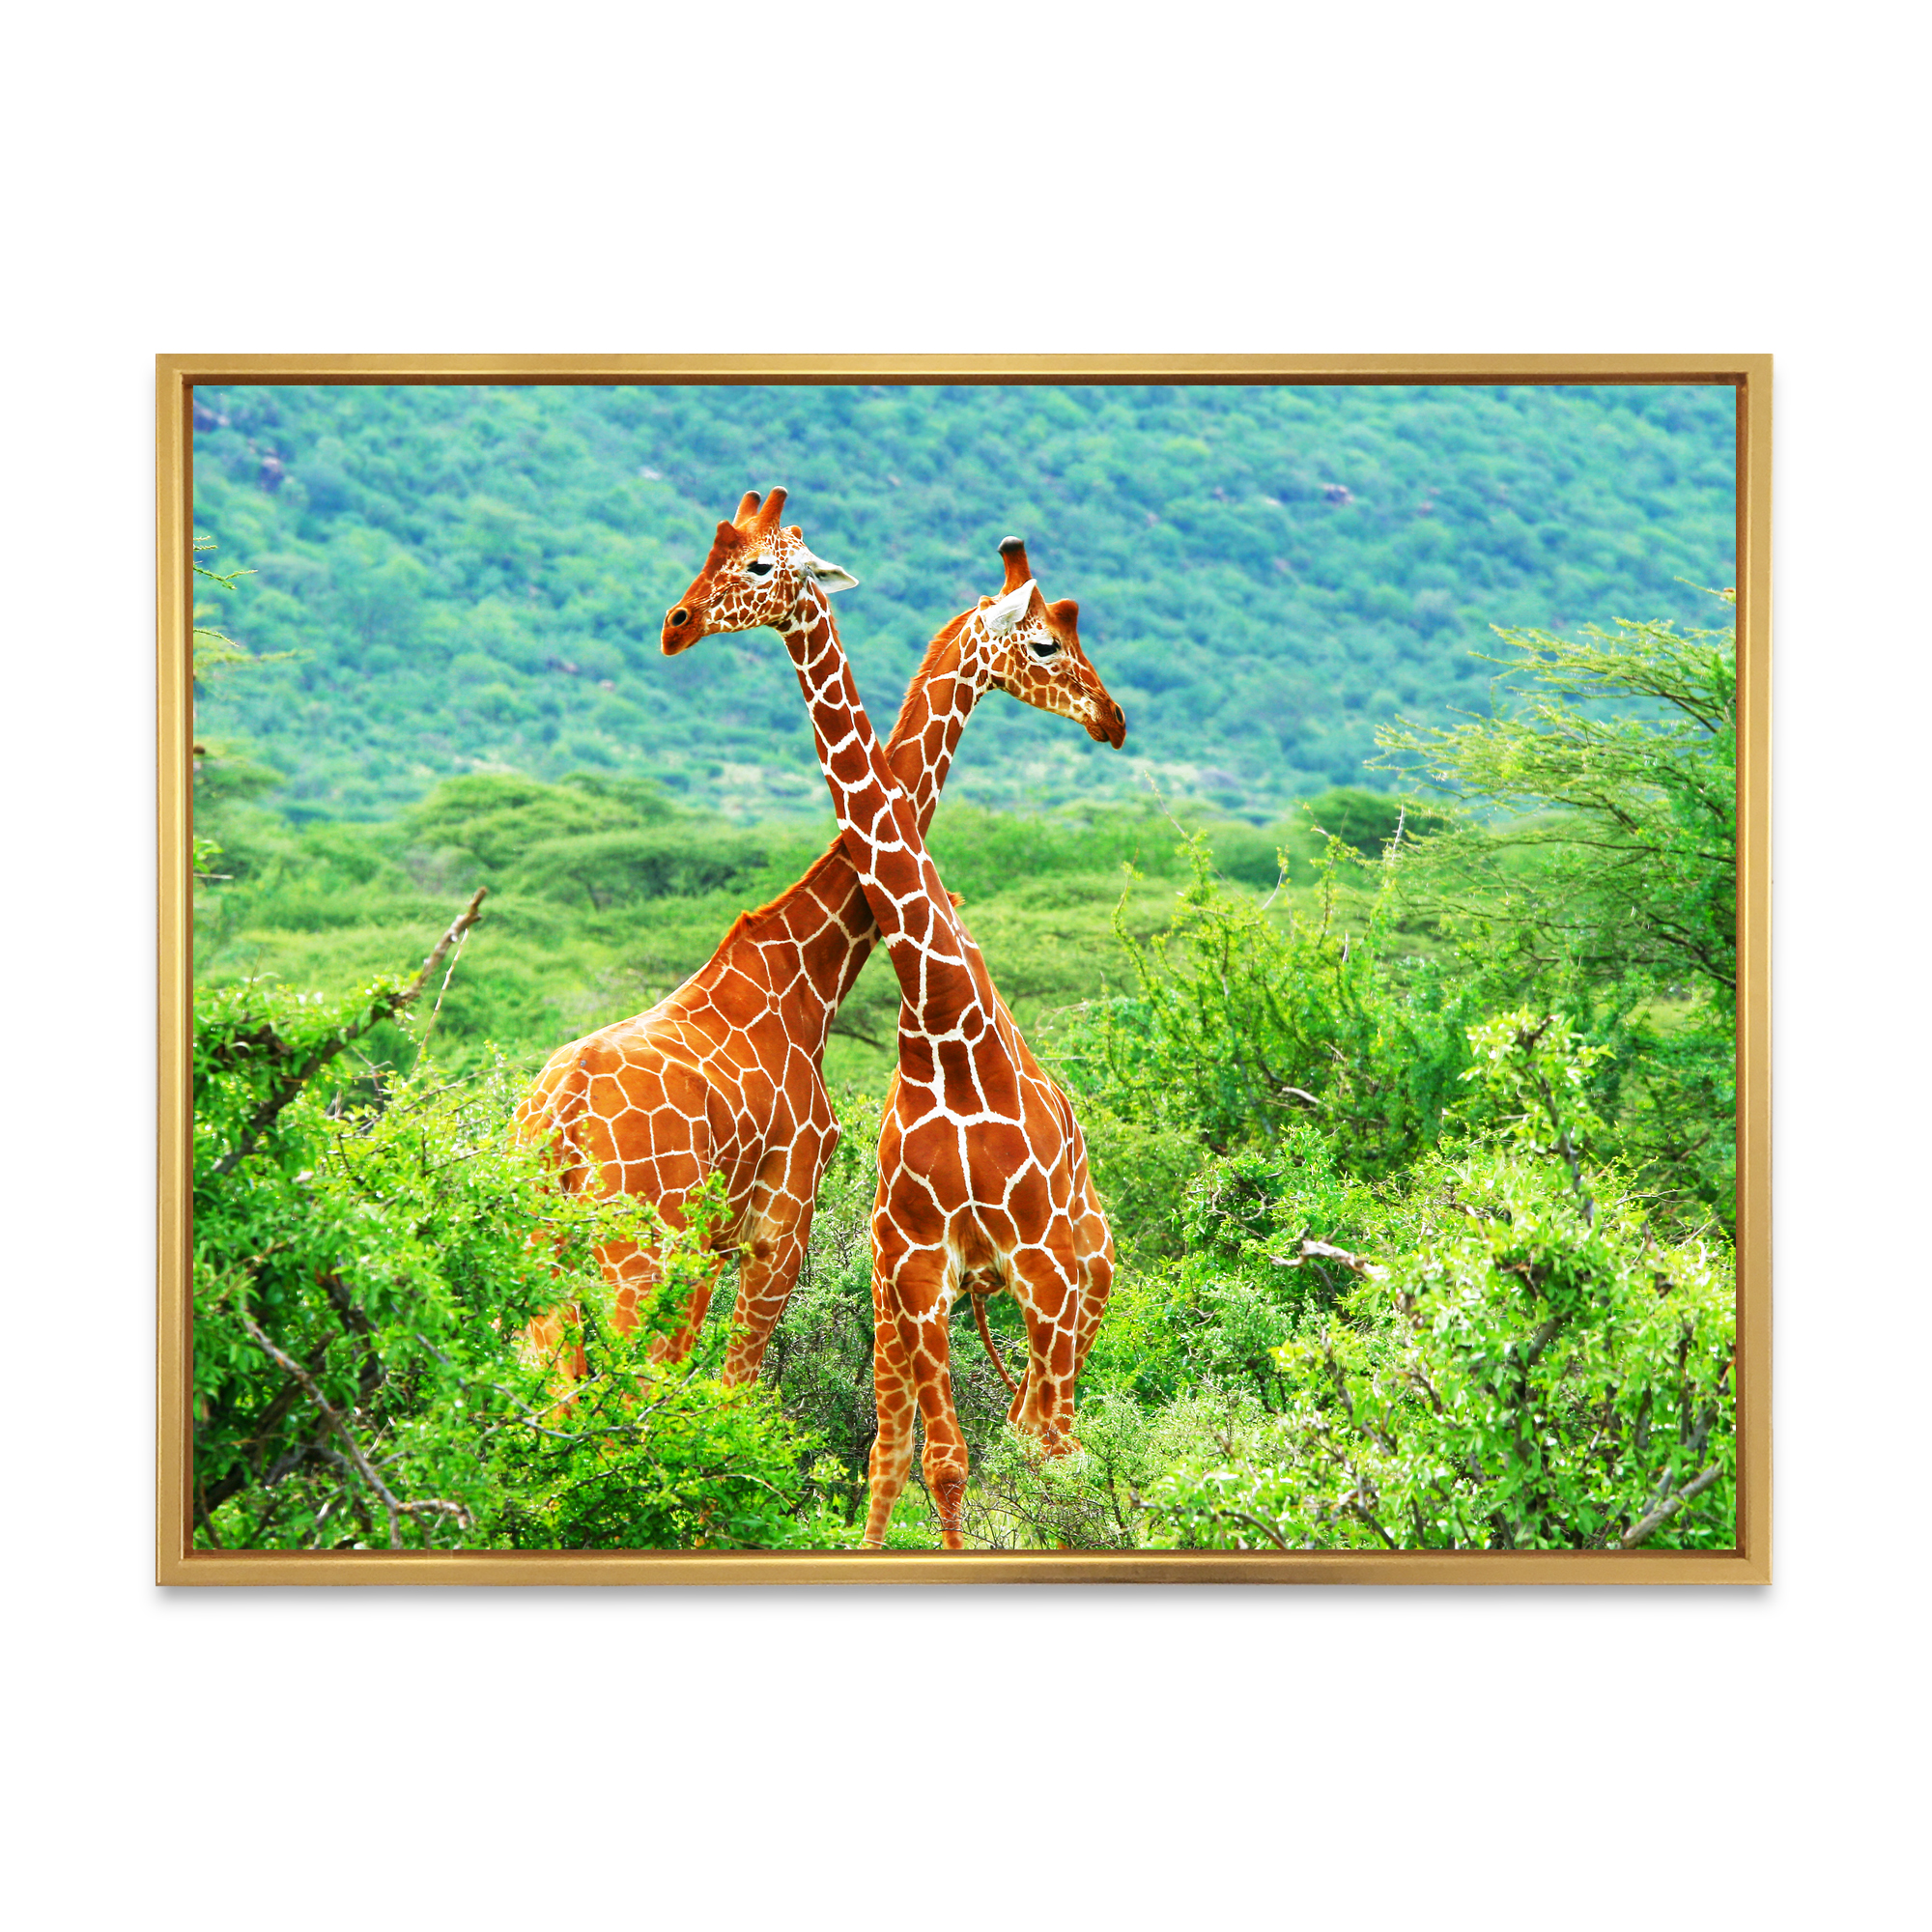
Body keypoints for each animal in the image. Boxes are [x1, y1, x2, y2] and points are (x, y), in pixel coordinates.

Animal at [517, 491, 1125, 1393]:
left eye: (752, 561)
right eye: (1048, 640)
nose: (1111, 717)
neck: (809, 972)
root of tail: (558, 1117)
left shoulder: (721, 1239)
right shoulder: (781, 1221)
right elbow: (731, 1392)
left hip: (544, 1242)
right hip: (636, 1245)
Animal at [663, 489, 1120, 1549]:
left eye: (758, 564)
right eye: (1047, 642)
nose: (1113, 719)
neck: (946, 1022)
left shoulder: (1038, 1264)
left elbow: (1027, 1452)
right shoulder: (913, 1261)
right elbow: (937, 1460)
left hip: (1083, 1279)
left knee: (1058, 1435)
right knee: (919, 1440)